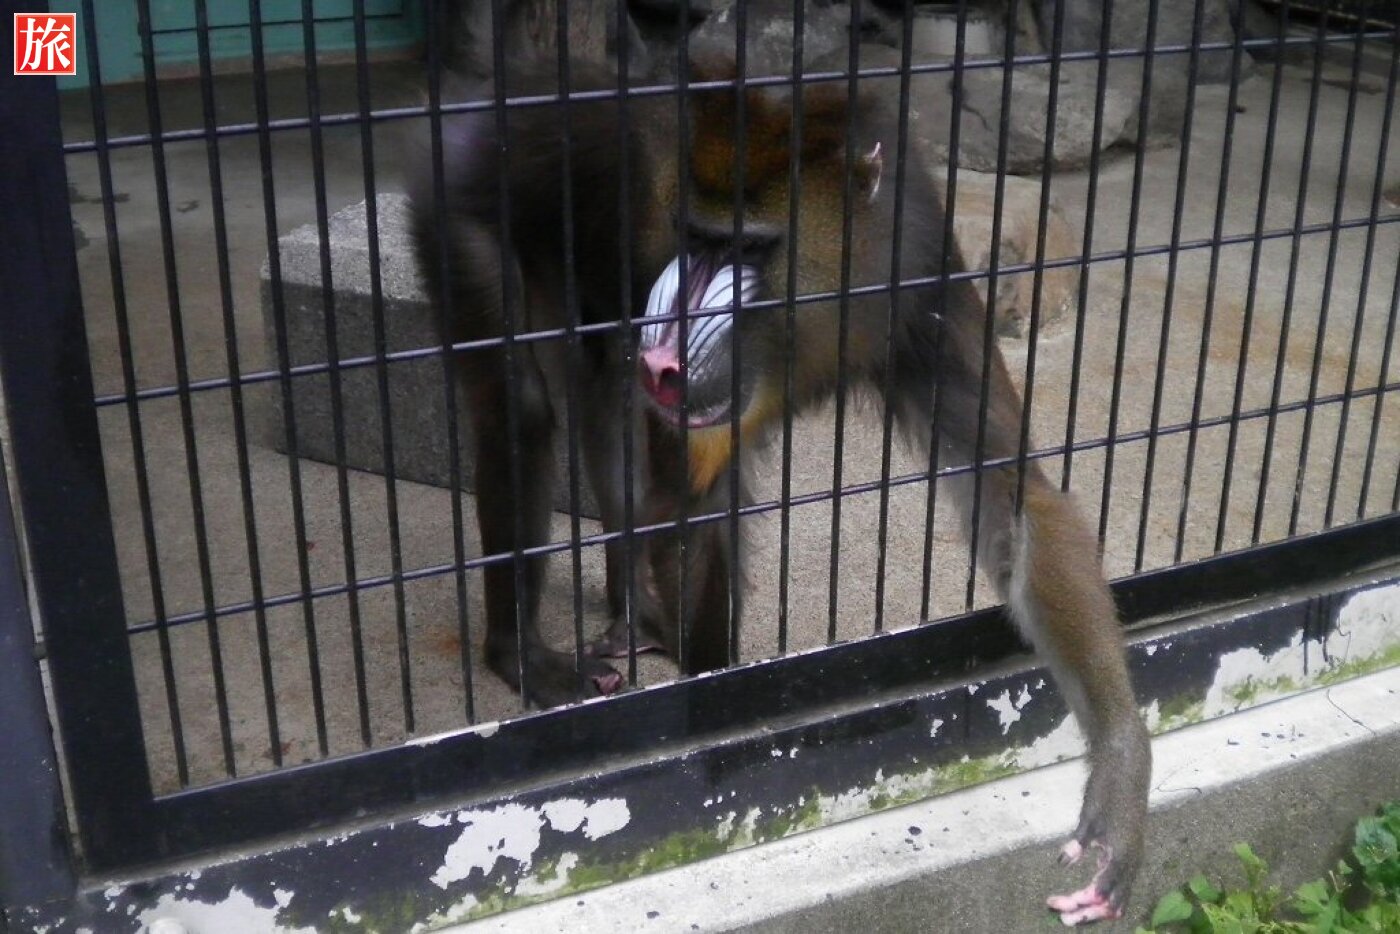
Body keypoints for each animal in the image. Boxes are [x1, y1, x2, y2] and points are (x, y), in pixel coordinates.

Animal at [406, 40, 1150, 928]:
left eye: (752, 250)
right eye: (695, 240)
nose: (668, 355)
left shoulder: (922, 280)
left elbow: (1012, 498)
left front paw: (1122, 773)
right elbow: (688, 512)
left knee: (606, 422)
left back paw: (632, 611)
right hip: (463, 211)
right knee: (525, 408)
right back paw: (522, 653)